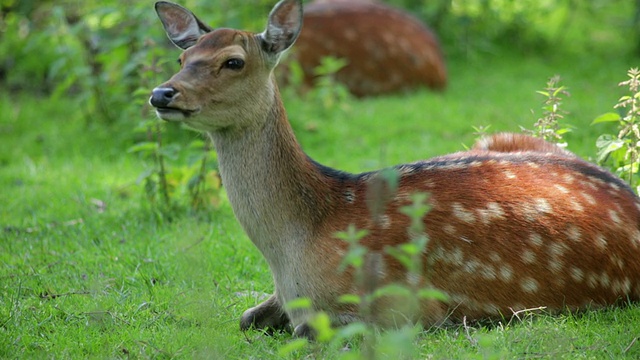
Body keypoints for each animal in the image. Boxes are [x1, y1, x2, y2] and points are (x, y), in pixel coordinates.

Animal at [149, 0, 640, 338]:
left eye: (233, 61)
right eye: (181, 59)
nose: (161, 93)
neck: (294, 250)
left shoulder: (407, 306)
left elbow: (307, 329)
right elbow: (247, 317)